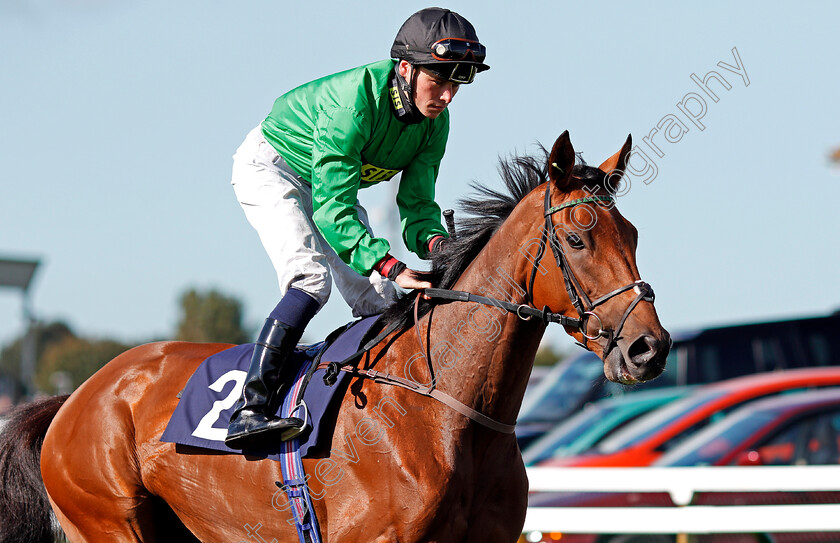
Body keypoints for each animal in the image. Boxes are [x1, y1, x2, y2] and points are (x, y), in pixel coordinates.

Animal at [0, 133, 668, 543]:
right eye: (577, 239)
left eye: (633, 234)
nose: (648, 347)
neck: (447, 413)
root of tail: (76, 397)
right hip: (111, 520)